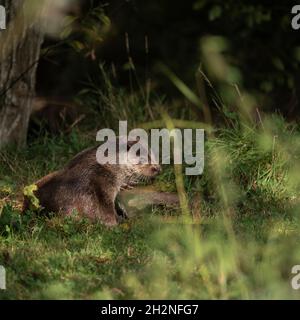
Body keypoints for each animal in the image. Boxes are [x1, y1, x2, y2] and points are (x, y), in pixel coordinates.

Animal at [22, 139, 162, 226]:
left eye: (153, 155)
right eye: (143, 158)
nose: (158, 168)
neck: (108, 166)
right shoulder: (102, 185)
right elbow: (105, 210)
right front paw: (116, 223)